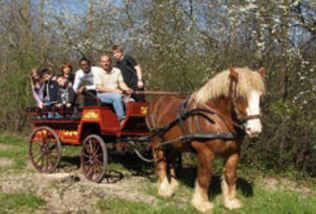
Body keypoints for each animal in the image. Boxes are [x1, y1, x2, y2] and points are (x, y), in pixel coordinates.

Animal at [147, 67, 266, 212]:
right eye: (241, 96)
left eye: (260, 98)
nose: (254, 130)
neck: (217, 118)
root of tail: (156, 100)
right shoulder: (205, 152)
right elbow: (204, 178)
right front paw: (202, 204)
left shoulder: (233, 152)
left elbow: (230, 176)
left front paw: (231, 201)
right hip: (157, 141)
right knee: (161, 162)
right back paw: (164, 190)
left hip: (173, 143)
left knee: (171, 160)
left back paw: (173, 184)